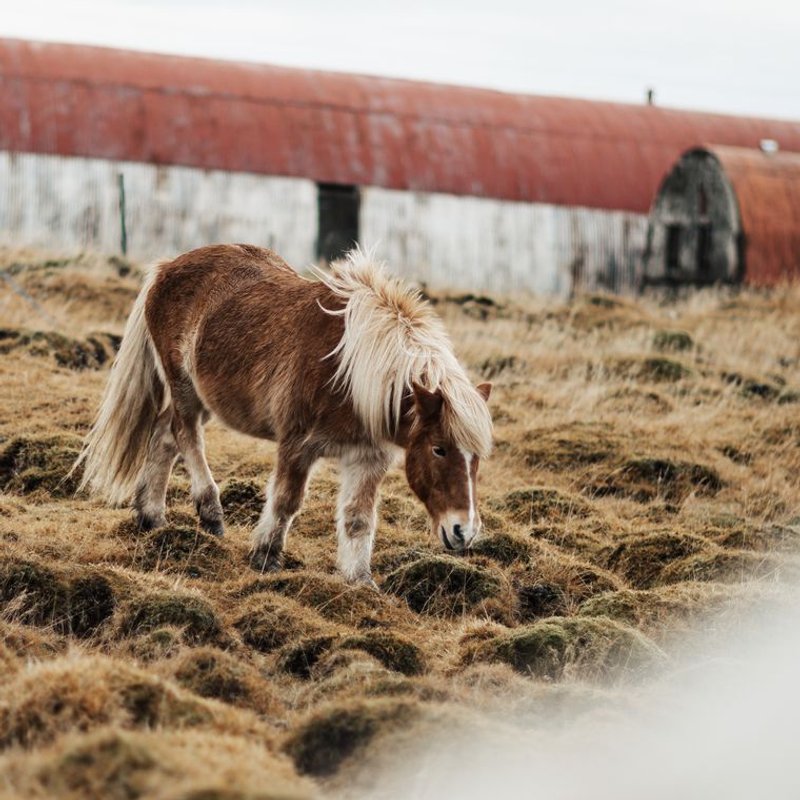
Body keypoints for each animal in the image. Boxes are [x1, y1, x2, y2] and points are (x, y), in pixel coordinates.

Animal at [75, 244, 493, 585]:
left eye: (476, 459)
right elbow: (286, 501)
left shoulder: (368, 457)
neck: (351, 372)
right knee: (184, 434)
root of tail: (167, 268)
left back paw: (152, 517)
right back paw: (210, 513)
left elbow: (359, 518)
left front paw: (360, 581)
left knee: (164, 434)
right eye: (439, 449)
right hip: (184, 388)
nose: (464, 532)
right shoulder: (298, 444)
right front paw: (266, 558)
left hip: (206, 397)